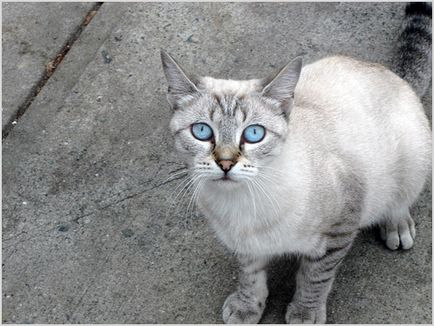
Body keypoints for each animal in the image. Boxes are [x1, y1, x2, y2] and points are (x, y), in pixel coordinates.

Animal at [162, 1, 430, 324]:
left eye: (254, 134)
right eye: (201, 131)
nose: (225, 163)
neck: (243, 204)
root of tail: (392, 74)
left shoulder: (338, 231)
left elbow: (315, 278)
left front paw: (305, 312)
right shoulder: (244, 246)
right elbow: (250, 277)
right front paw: (247, 307)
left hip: (412, 160)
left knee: (401, 200)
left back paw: (397, 226)